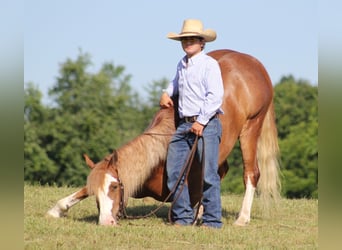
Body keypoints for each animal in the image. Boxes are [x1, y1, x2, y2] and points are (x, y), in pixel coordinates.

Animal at [46, 48, 280, 227]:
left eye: (113, 187)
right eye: (97, 191)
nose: (106, 222)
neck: (158, 158)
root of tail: (254, 63)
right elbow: (80, 191)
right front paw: (57, 209)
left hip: (251, 129)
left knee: (250, 173)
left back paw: (242, 218)